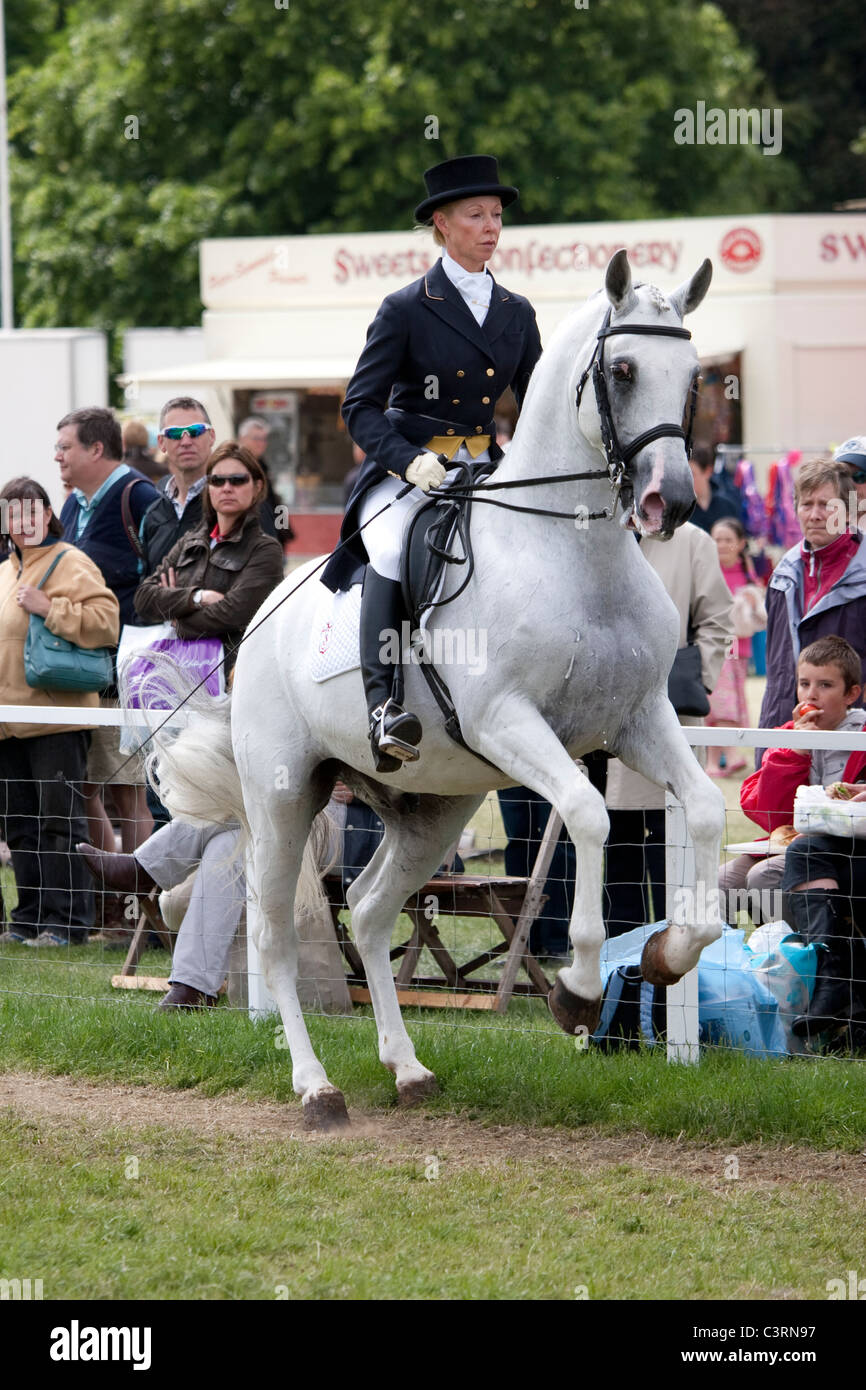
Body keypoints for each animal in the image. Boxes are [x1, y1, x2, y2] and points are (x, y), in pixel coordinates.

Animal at [155, 255, 722, 1128]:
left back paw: (407, 1067)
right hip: (284, 793)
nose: (672, 502)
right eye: (623, 370)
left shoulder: (637, 720)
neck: (573, 554)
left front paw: (670, 951)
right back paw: (316, 1087)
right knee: (275, 933)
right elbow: (589, 815)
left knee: (371, 907)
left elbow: (707, 808)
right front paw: (578, 988)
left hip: (434, 808)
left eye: (693, 377)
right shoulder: (509, 723)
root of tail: (259, 619)